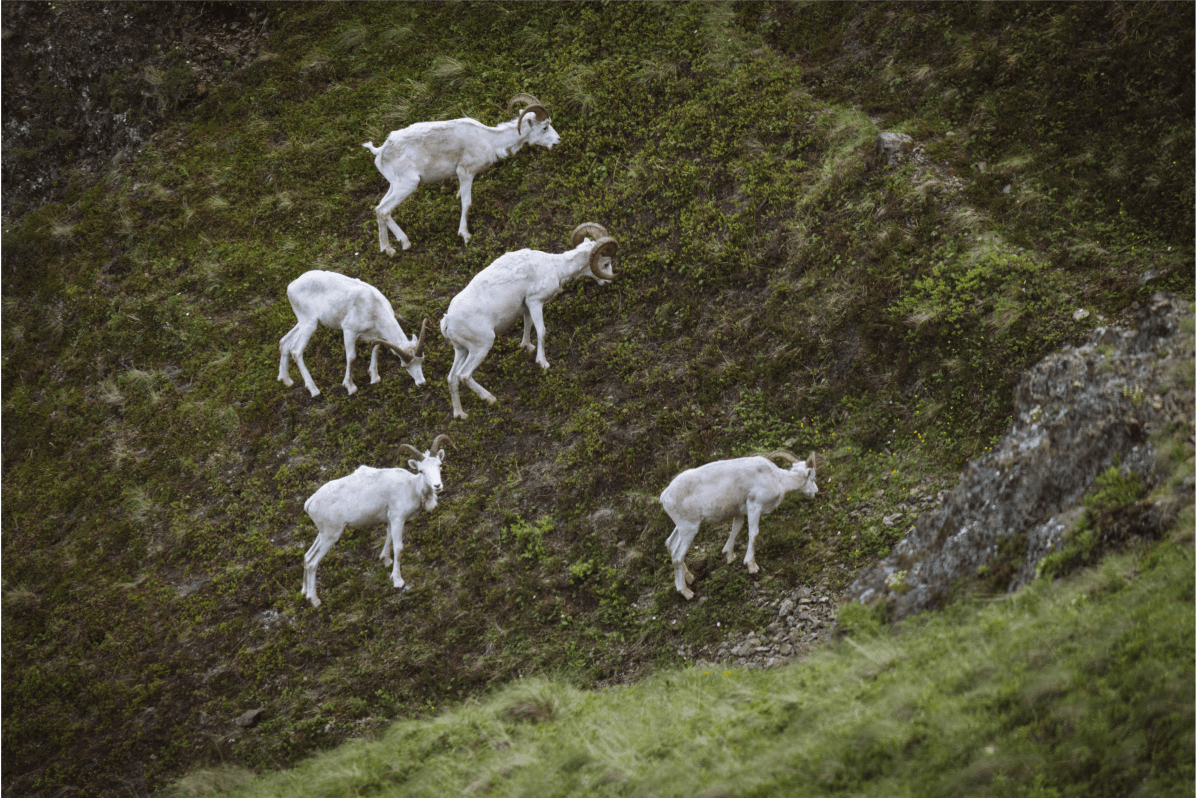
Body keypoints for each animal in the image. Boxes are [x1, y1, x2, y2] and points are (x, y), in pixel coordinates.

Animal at [278, 269, 429, 397]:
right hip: (309, 324)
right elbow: (351, 357)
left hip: (303, 323)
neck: (372, 305)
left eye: (422, 360)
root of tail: (290, 287)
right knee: (296, 350)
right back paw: (314, 390)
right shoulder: (349, 331)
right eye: (404, 366)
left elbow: (376, 349)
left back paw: (286, 381)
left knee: (284, 342)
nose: (421, 383)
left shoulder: (377, 334)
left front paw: (374, 378)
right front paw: (350, 387)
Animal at [301, 435, 451, 608]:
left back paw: (305, 593)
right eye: (421, 470)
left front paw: (385, 560)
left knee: (307, 556)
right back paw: (315, 600)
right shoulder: (398, 518)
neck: (413, 488)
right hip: (331, 536)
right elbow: (398, 547)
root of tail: (310, 503)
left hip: (323, 534)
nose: (437, 486)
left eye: (439, 465)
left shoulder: (390, 519)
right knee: (312, 563)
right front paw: (398, 581)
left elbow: (388, 538)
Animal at [362, 93, 560, 255]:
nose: (558, 140)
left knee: (379, 209)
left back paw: (388, 250)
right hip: (408, 185)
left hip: (394, 186)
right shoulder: (466, 173)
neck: (489, 140)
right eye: (545, 127)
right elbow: (467, 203)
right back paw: (405, 243)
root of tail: (380, 151)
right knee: (384, 210)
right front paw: (465, 235)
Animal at [440, 222, 619, 419]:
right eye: (606, 263)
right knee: (464, 375)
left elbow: (528, 325)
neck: (555, 267)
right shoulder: (535, 302)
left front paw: (527, 347)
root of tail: (447, 322)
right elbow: (541, 331)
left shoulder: (526, 307)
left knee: (452, 378)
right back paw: (491, 398)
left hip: (462, 350)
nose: (608, 282)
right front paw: (543, 363)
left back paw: (461, 414)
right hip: (482, 346)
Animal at [659, 451, 818, 599]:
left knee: (670, 544)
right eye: (812, 477)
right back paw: (687, 593)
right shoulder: (755, 506)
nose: (815, 492)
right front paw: (752, 566)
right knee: (677, 556)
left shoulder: (740, 512)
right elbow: (754, 534)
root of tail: (664, 496)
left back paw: (690, 578)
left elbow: (736, 529)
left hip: (682, 527)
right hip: (689, 529)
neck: (778, 479)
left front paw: (730, 557)